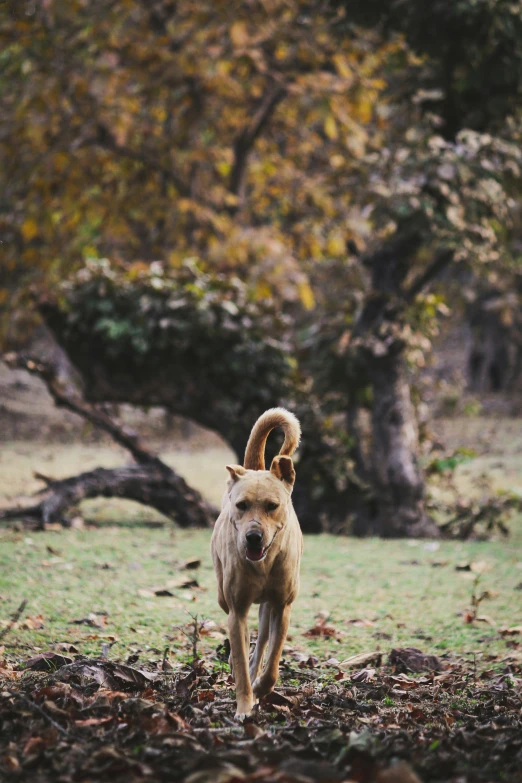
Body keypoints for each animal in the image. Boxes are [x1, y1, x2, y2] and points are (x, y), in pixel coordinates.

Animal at [210, 408, 302, 720]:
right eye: (241, 505)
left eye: (272, 506)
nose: (253, 537)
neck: (263, 564)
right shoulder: (237, 609)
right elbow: (239, 658)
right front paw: (244, 705)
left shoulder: (282, 606)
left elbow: (273, 658)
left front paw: (262, 686)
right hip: (223, 595)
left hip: (267, 606)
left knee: (262, 640)